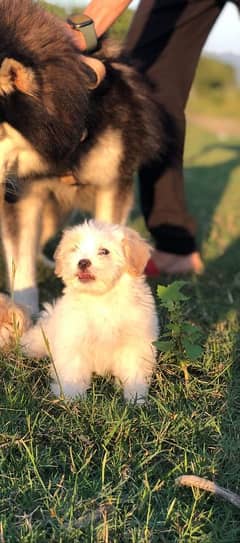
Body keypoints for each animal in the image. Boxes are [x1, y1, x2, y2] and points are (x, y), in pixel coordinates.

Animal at [21, 221, 159, 404]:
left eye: (104, 251)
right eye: (75, 248)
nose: (83, 262)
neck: (100, 298)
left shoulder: (136, 341)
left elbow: (134, 369)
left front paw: (136, 397)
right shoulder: (73, 338)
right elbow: (72, 369)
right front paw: (71, 396)